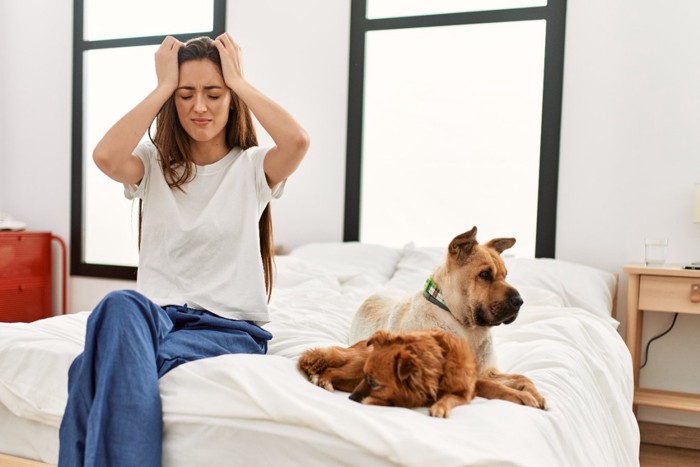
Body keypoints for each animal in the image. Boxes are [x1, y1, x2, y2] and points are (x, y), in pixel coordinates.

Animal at [298, 330, 478, 418]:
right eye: (368, 378)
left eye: (374, 383)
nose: (351, 398)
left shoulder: (464, 395)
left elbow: (449, 398)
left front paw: (439, 407)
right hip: (354, 371)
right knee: (331, 369)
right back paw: (323, 380)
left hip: (351, 380)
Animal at [350, 227, 548, 410]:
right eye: (485, 274)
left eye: (505, 275)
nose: (520, 301)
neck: (467, 327)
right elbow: (494, 387)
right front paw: (523, 397)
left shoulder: (488, 371)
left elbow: (522, 377)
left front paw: (536, 394)